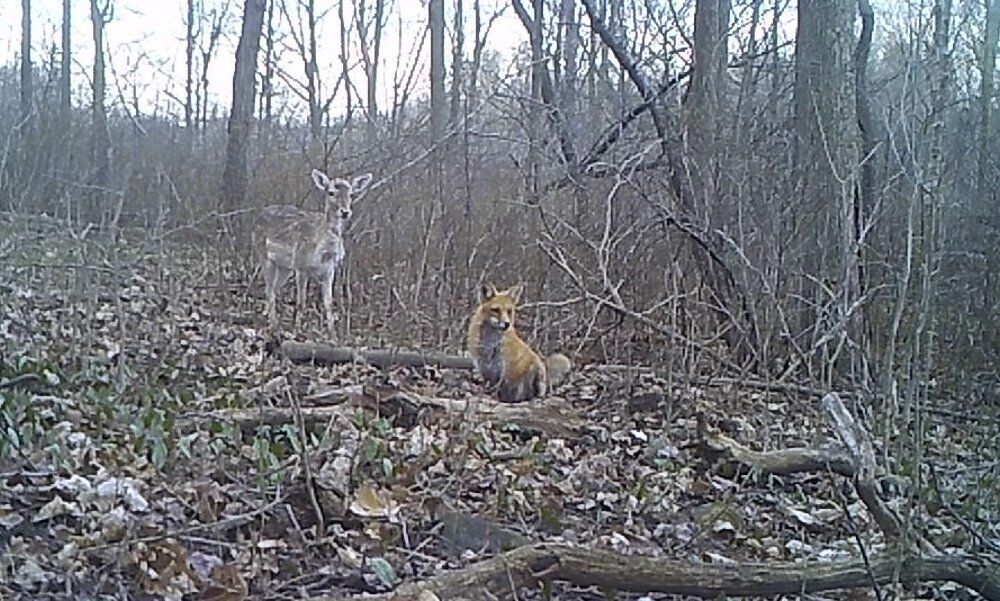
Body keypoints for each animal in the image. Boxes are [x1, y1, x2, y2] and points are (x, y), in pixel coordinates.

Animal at [256, 169, 374, 332]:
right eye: (331, 192)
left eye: (351, 194)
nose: (345, 212)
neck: (323, 252)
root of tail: (258, 217)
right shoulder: (301, 266)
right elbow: (301, 302)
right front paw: (297, 330)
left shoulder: (330, 270)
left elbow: (328, 304)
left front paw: (332, 333)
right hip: (264, 256)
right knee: (269, 289)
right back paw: (273, 324)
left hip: (285, 267)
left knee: (273, 288)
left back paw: (268, 318)